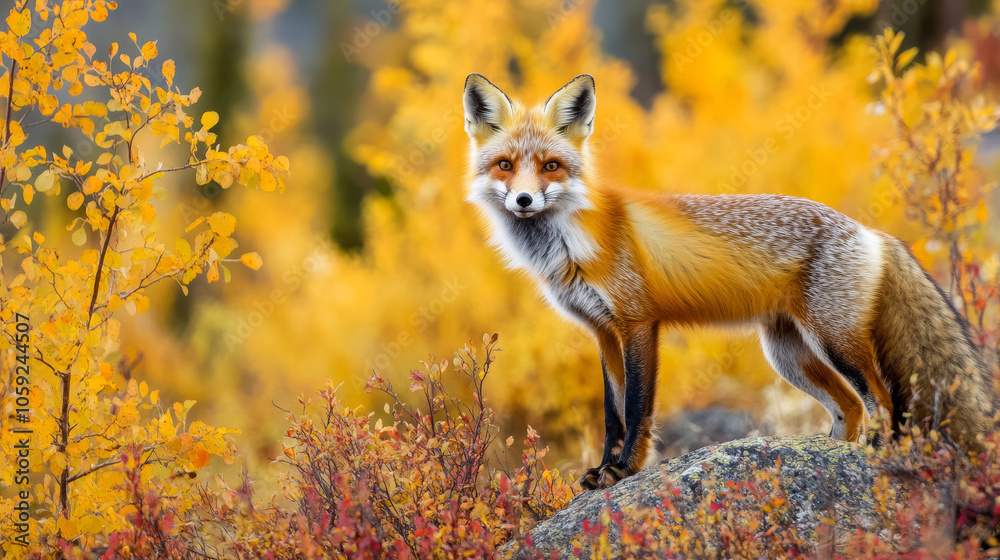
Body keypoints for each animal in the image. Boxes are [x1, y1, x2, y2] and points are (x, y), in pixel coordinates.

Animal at [462, 73, 995, 490]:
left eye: (550, 166)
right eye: (505, 166)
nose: (524, 200)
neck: (572, 242)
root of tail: (871, 232)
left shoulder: (637, 323)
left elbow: (636, 409)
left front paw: (626, 470)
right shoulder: (602, 333)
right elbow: (612, 414)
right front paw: (604, 470)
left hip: (836, 342)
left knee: (882, 404)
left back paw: (877, 457)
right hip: (788, 355)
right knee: (853, 410)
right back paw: (829, 459)